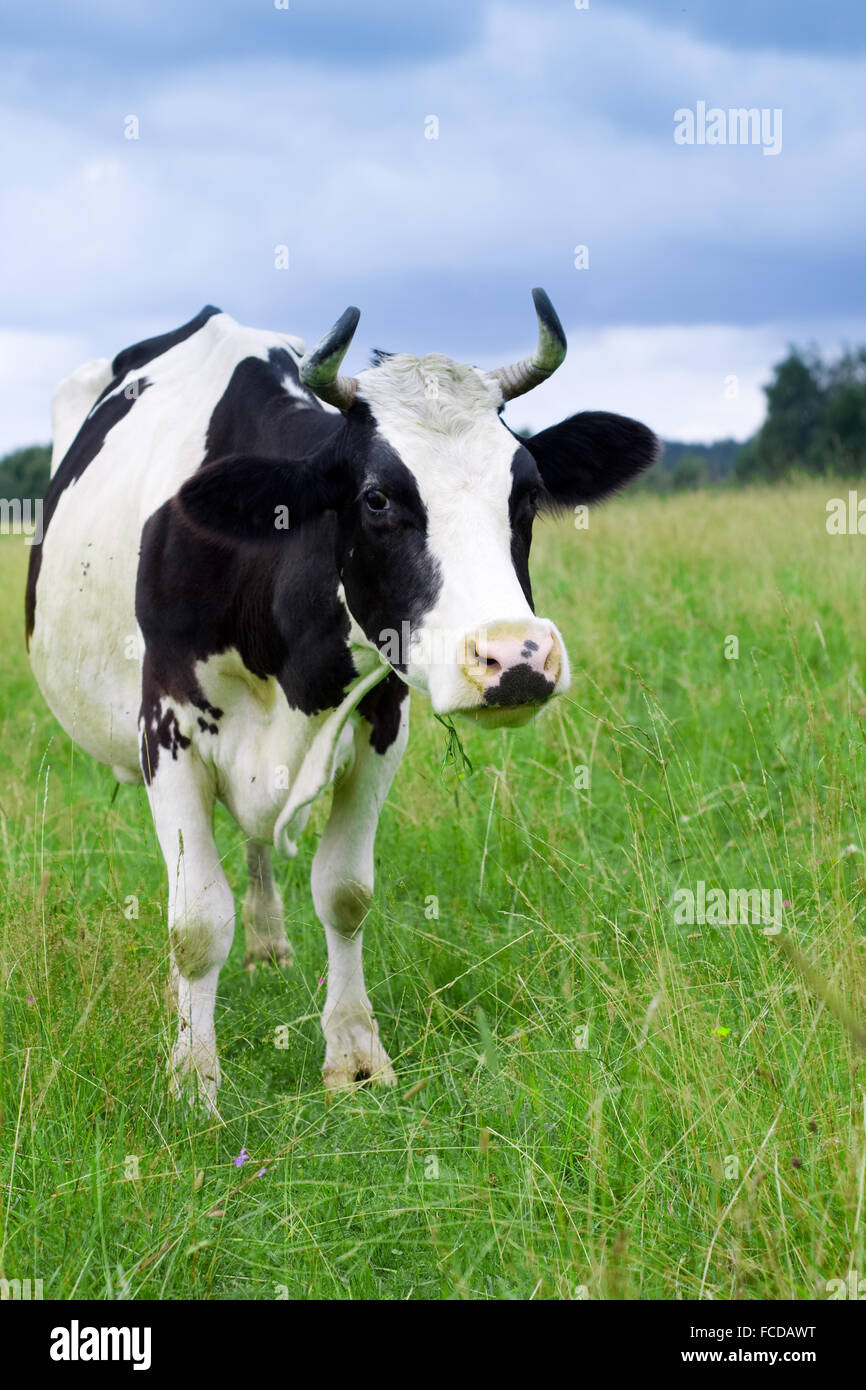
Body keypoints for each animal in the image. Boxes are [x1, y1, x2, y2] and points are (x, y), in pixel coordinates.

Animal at [26, 291, 657, 1109]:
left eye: (527, 493)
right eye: (377, 498)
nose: (516, 658)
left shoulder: (383, 720)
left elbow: (345, 890)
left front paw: (354, 1055)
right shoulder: (165, 727)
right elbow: (195, 917)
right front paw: (192, 1079)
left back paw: (268, 943)